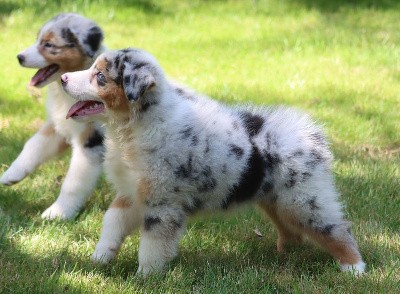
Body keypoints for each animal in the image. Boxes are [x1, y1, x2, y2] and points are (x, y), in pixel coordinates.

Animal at [0, 14, 106, 220]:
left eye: (48, 44)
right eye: (38, 40)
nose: (19, 57)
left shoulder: (90, 142)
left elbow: (73, 182)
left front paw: (58, 213)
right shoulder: (59, 128)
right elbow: (33, 144)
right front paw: (11, 174)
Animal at [60, 47, 366, 276]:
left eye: (100, 76)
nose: (62, 78)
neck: (134, 128)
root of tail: (308, 135)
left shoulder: (162, 204)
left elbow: (151, 246)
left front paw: (145, 277)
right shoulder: (132, 192)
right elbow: (112, 221)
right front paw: (99, 258)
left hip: (305, 200)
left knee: (336, 229)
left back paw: (354, 268)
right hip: (276, 199)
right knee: (293, 232)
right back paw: (284, 257)